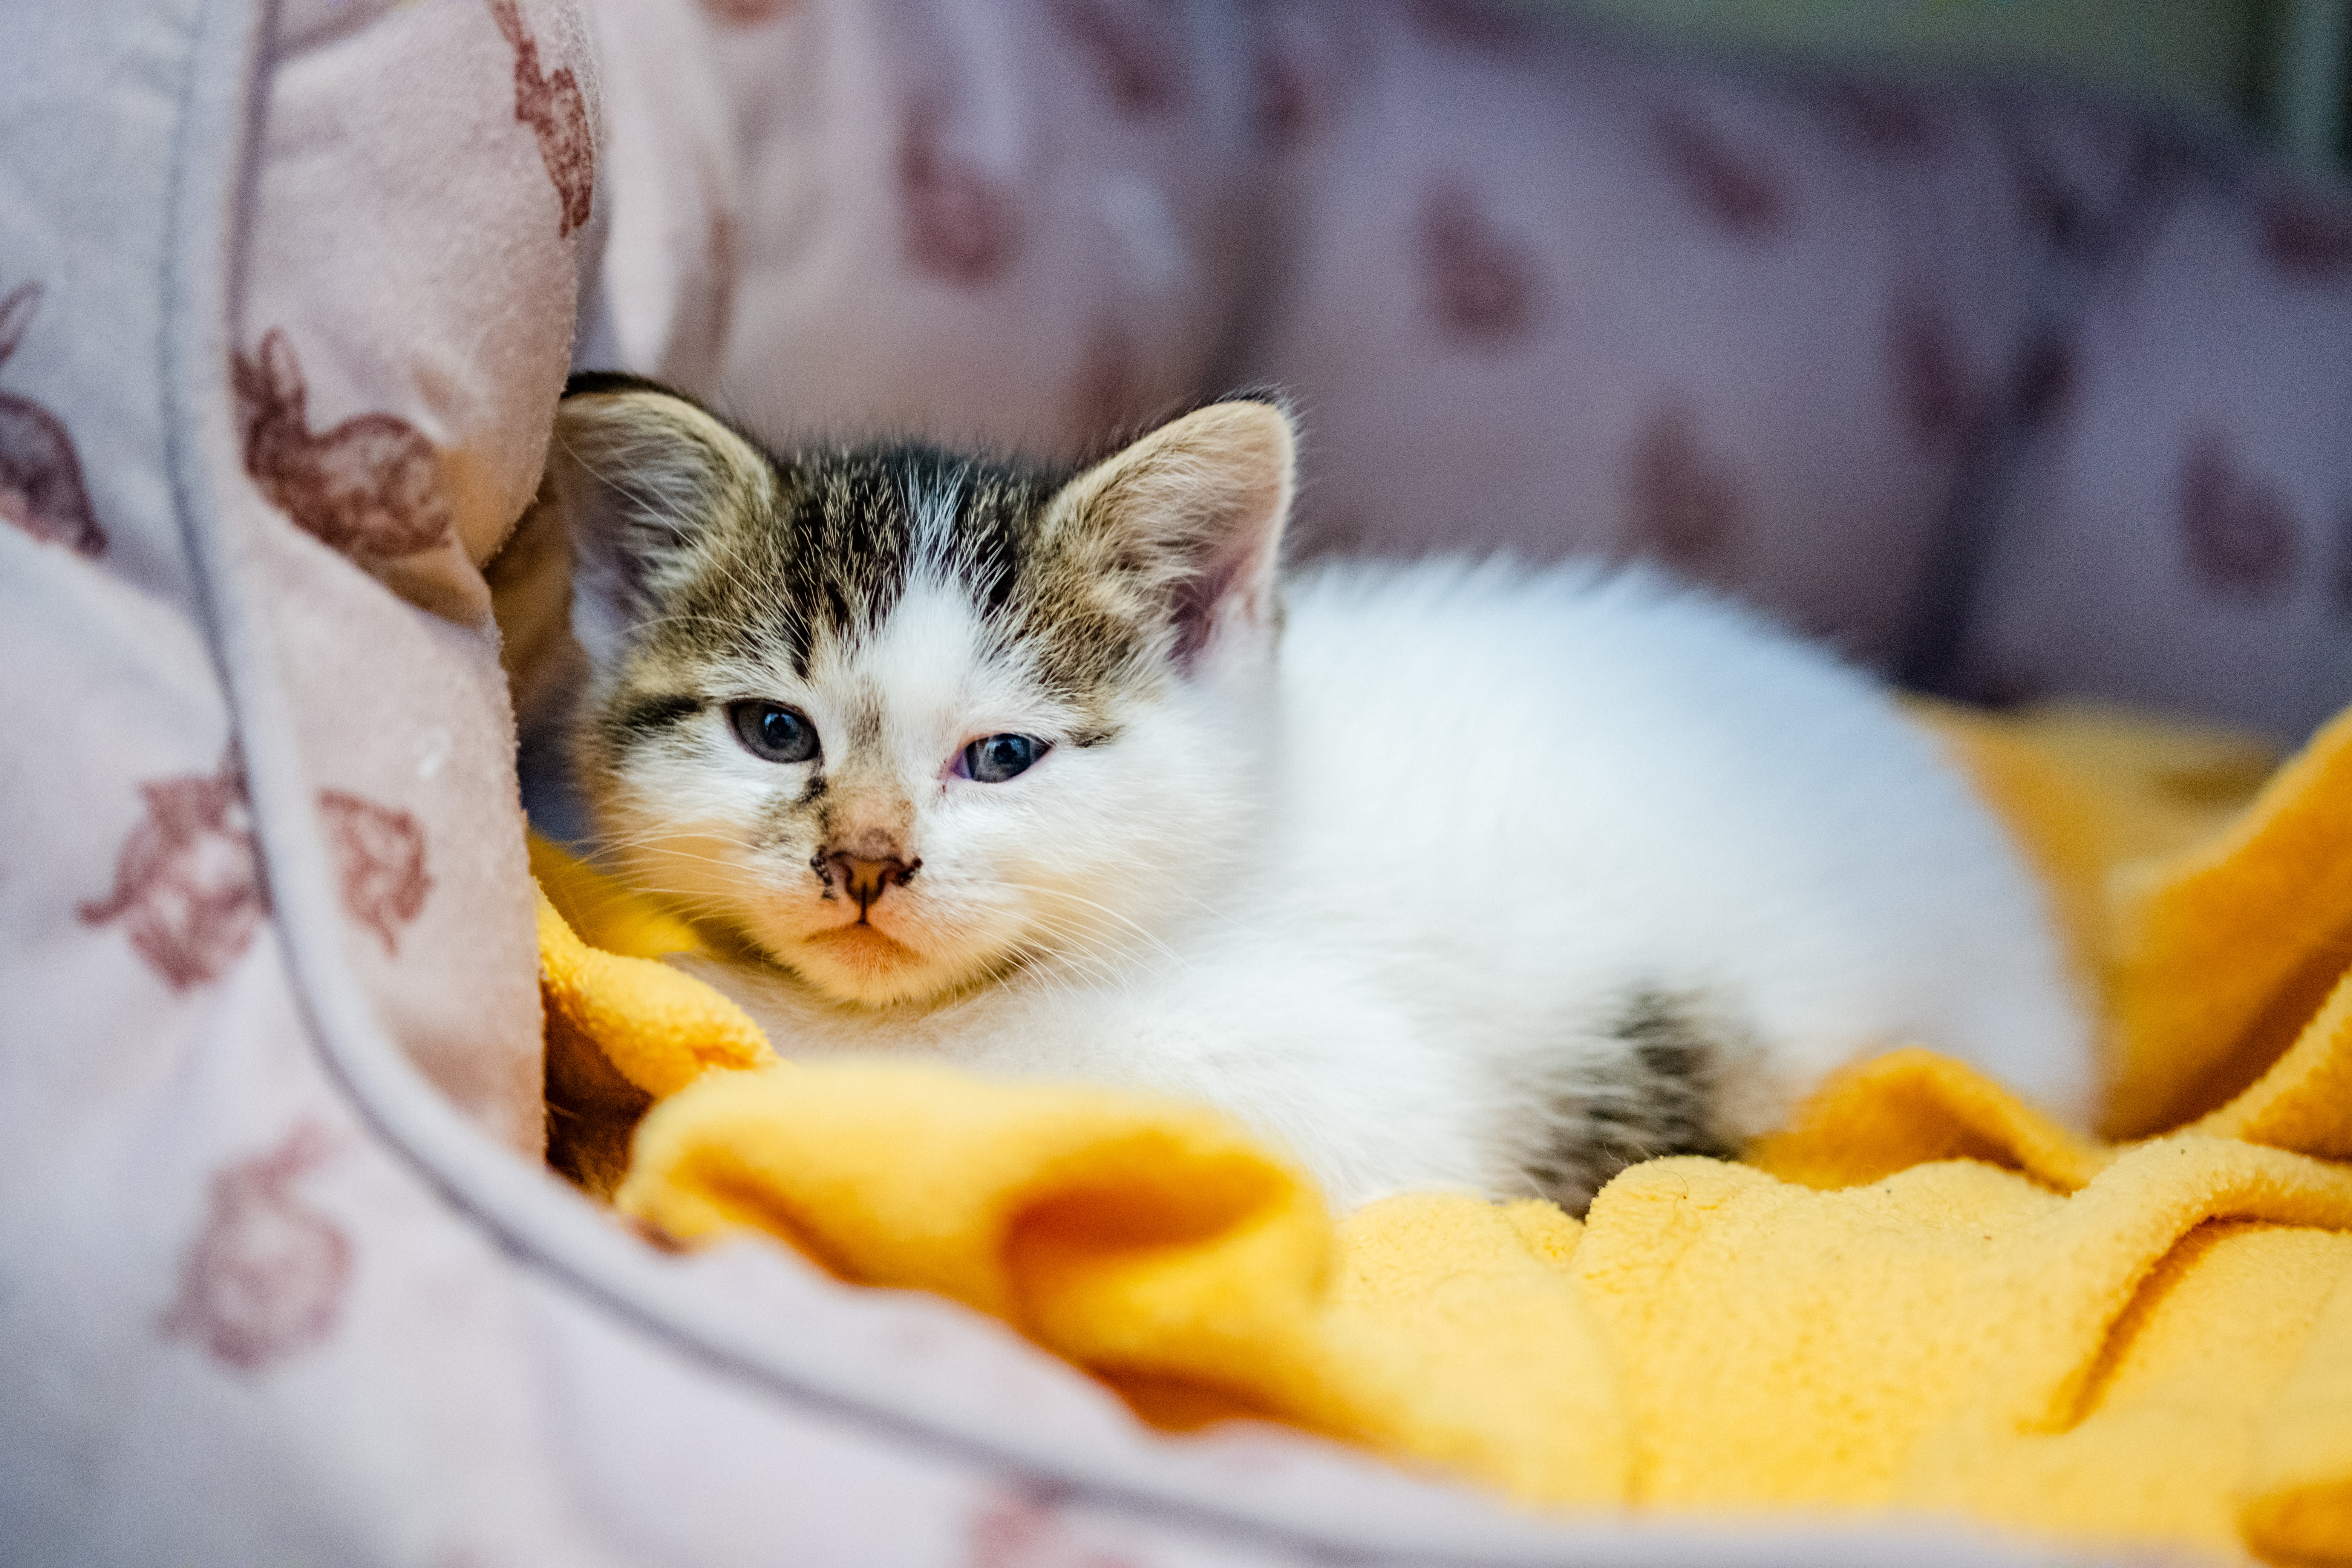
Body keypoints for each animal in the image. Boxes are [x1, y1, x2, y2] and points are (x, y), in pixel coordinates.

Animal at [545, 376, 2098, 1213]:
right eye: (773, 732)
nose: (864, 861)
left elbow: (973, 1074)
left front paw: (727, 1013)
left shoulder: (1351, 1104)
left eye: (1001, 757)